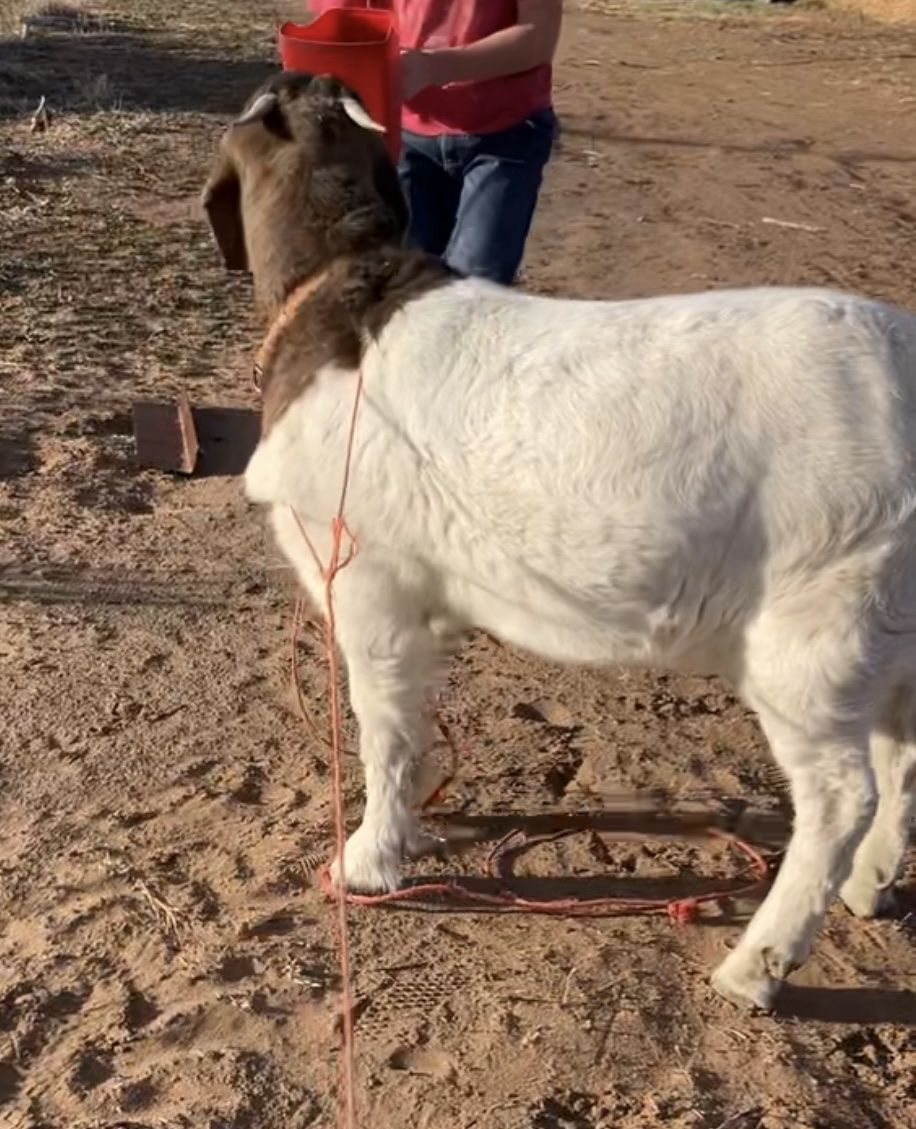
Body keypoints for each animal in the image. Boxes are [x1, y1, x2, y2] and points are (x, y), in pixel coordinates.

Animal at [203, 71, 916, 1011]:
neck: (342, 285)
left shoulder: (369, 579)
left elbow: (382, 725)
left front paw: (368, 858)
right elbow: (417, 719)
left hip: (821, 615)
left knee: (840, 794)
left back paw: (757, 965)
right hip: (893, 625)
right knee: (903, 753)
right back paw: (871, 884)